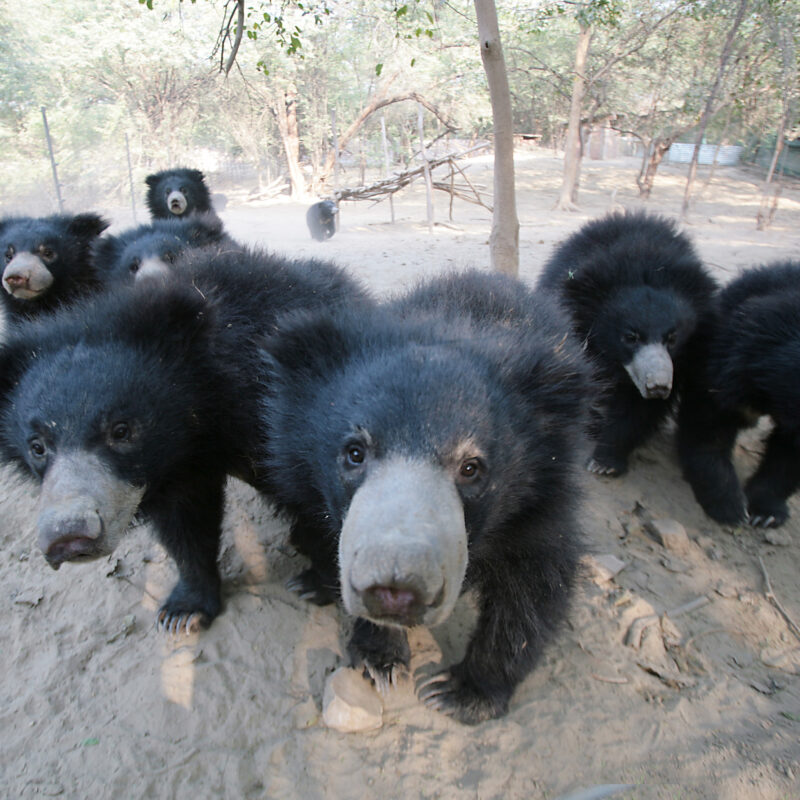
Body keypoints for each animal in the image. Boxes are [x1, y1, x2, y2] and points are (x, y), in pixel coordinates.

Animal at [0, 245, 369, 634]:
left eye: (122, 430)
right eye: (37, 446)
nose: (69, 537)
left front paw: (316, 583)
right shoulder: (176, 468)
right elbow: (186, 526)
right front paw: (184, 611)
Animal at [261, 269, 591, 723]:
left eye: (471, 468)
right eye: (354, 452)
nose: (396, 589)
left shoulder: (542, 506)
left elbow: (534, 587)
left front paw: (461, 693)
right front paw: (380, 662)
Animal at [536, 211, 717, 476]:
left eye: (672, 338)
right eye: (630, 337)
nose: (658, 386)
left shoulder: (683, 359)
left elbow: (638, 410)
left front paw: (605, 462)